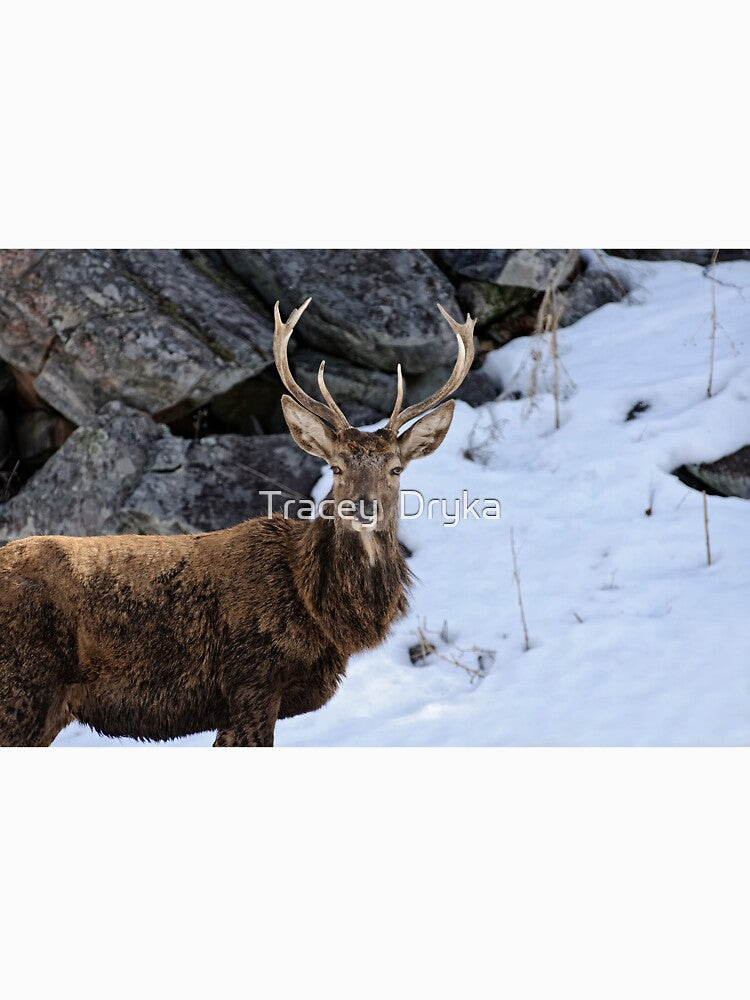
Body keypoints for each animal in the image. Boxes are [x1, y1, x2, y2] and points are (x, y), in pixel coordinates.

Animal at [0, 298, 475, 746]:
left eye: (396, 469)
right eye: (336, 466)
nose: (362, 507)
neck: (318, 611)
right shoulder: (252, 680)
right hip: (23, 687)